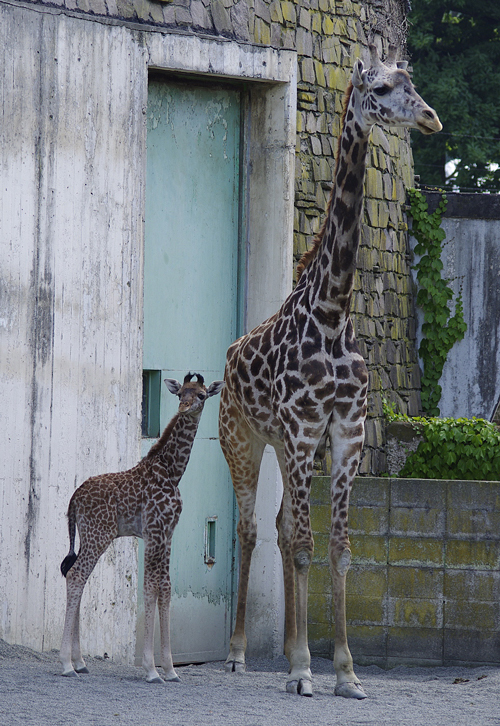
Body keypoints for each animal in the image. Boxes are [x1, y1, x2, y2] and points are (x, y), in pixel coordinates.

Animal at [58, 372, 223, 684]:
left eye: (201, 395)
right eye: (180, 393)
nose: (184, 408)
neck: (172, 472)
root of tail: (73, 498)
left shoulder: (168, 533)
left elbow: (166, 587)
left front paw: (170, 669)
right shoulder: (154, 532)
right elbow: (150, 587)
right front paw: (151, 669)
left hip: (87, 535)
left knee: (76, 577)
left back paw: (80, 662)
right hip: (99, 534)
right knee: (75, 575)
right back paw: (66, 664)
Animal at [219, 44, 442, 700]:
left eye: (411, 82)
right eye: (382, 89)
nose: (430, 118)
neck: (334, 310)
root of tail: (228, 357)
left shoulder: (344, 432)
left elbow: (338, 546)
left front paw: (343, 670)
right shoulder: (301, 429)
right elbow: (305, 543)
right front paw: (302, 670)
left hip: (285, 446)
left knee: (280, 527)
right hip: (244, 439)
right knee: (250, 529)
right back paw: (240, 654)